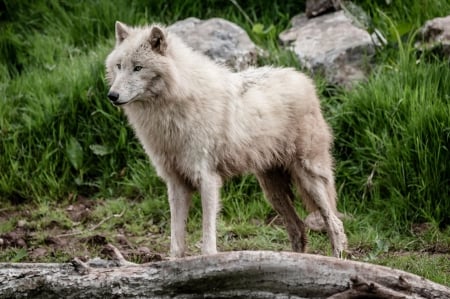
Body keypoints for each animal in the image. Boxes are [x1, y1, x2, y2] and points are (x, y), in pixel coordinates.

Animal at [105, 22, 348, 258]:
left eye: (138, 68)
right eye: (119, 66)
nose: (112, 96)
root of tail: (303, 79)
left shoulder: (207, 179)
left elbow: (207, 243)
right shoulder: (176, 183)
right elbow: (176, 246)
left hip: (309, 178)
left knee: (335, 223)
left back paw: (337, 260)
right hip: (271, 190)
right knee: (298, 228)